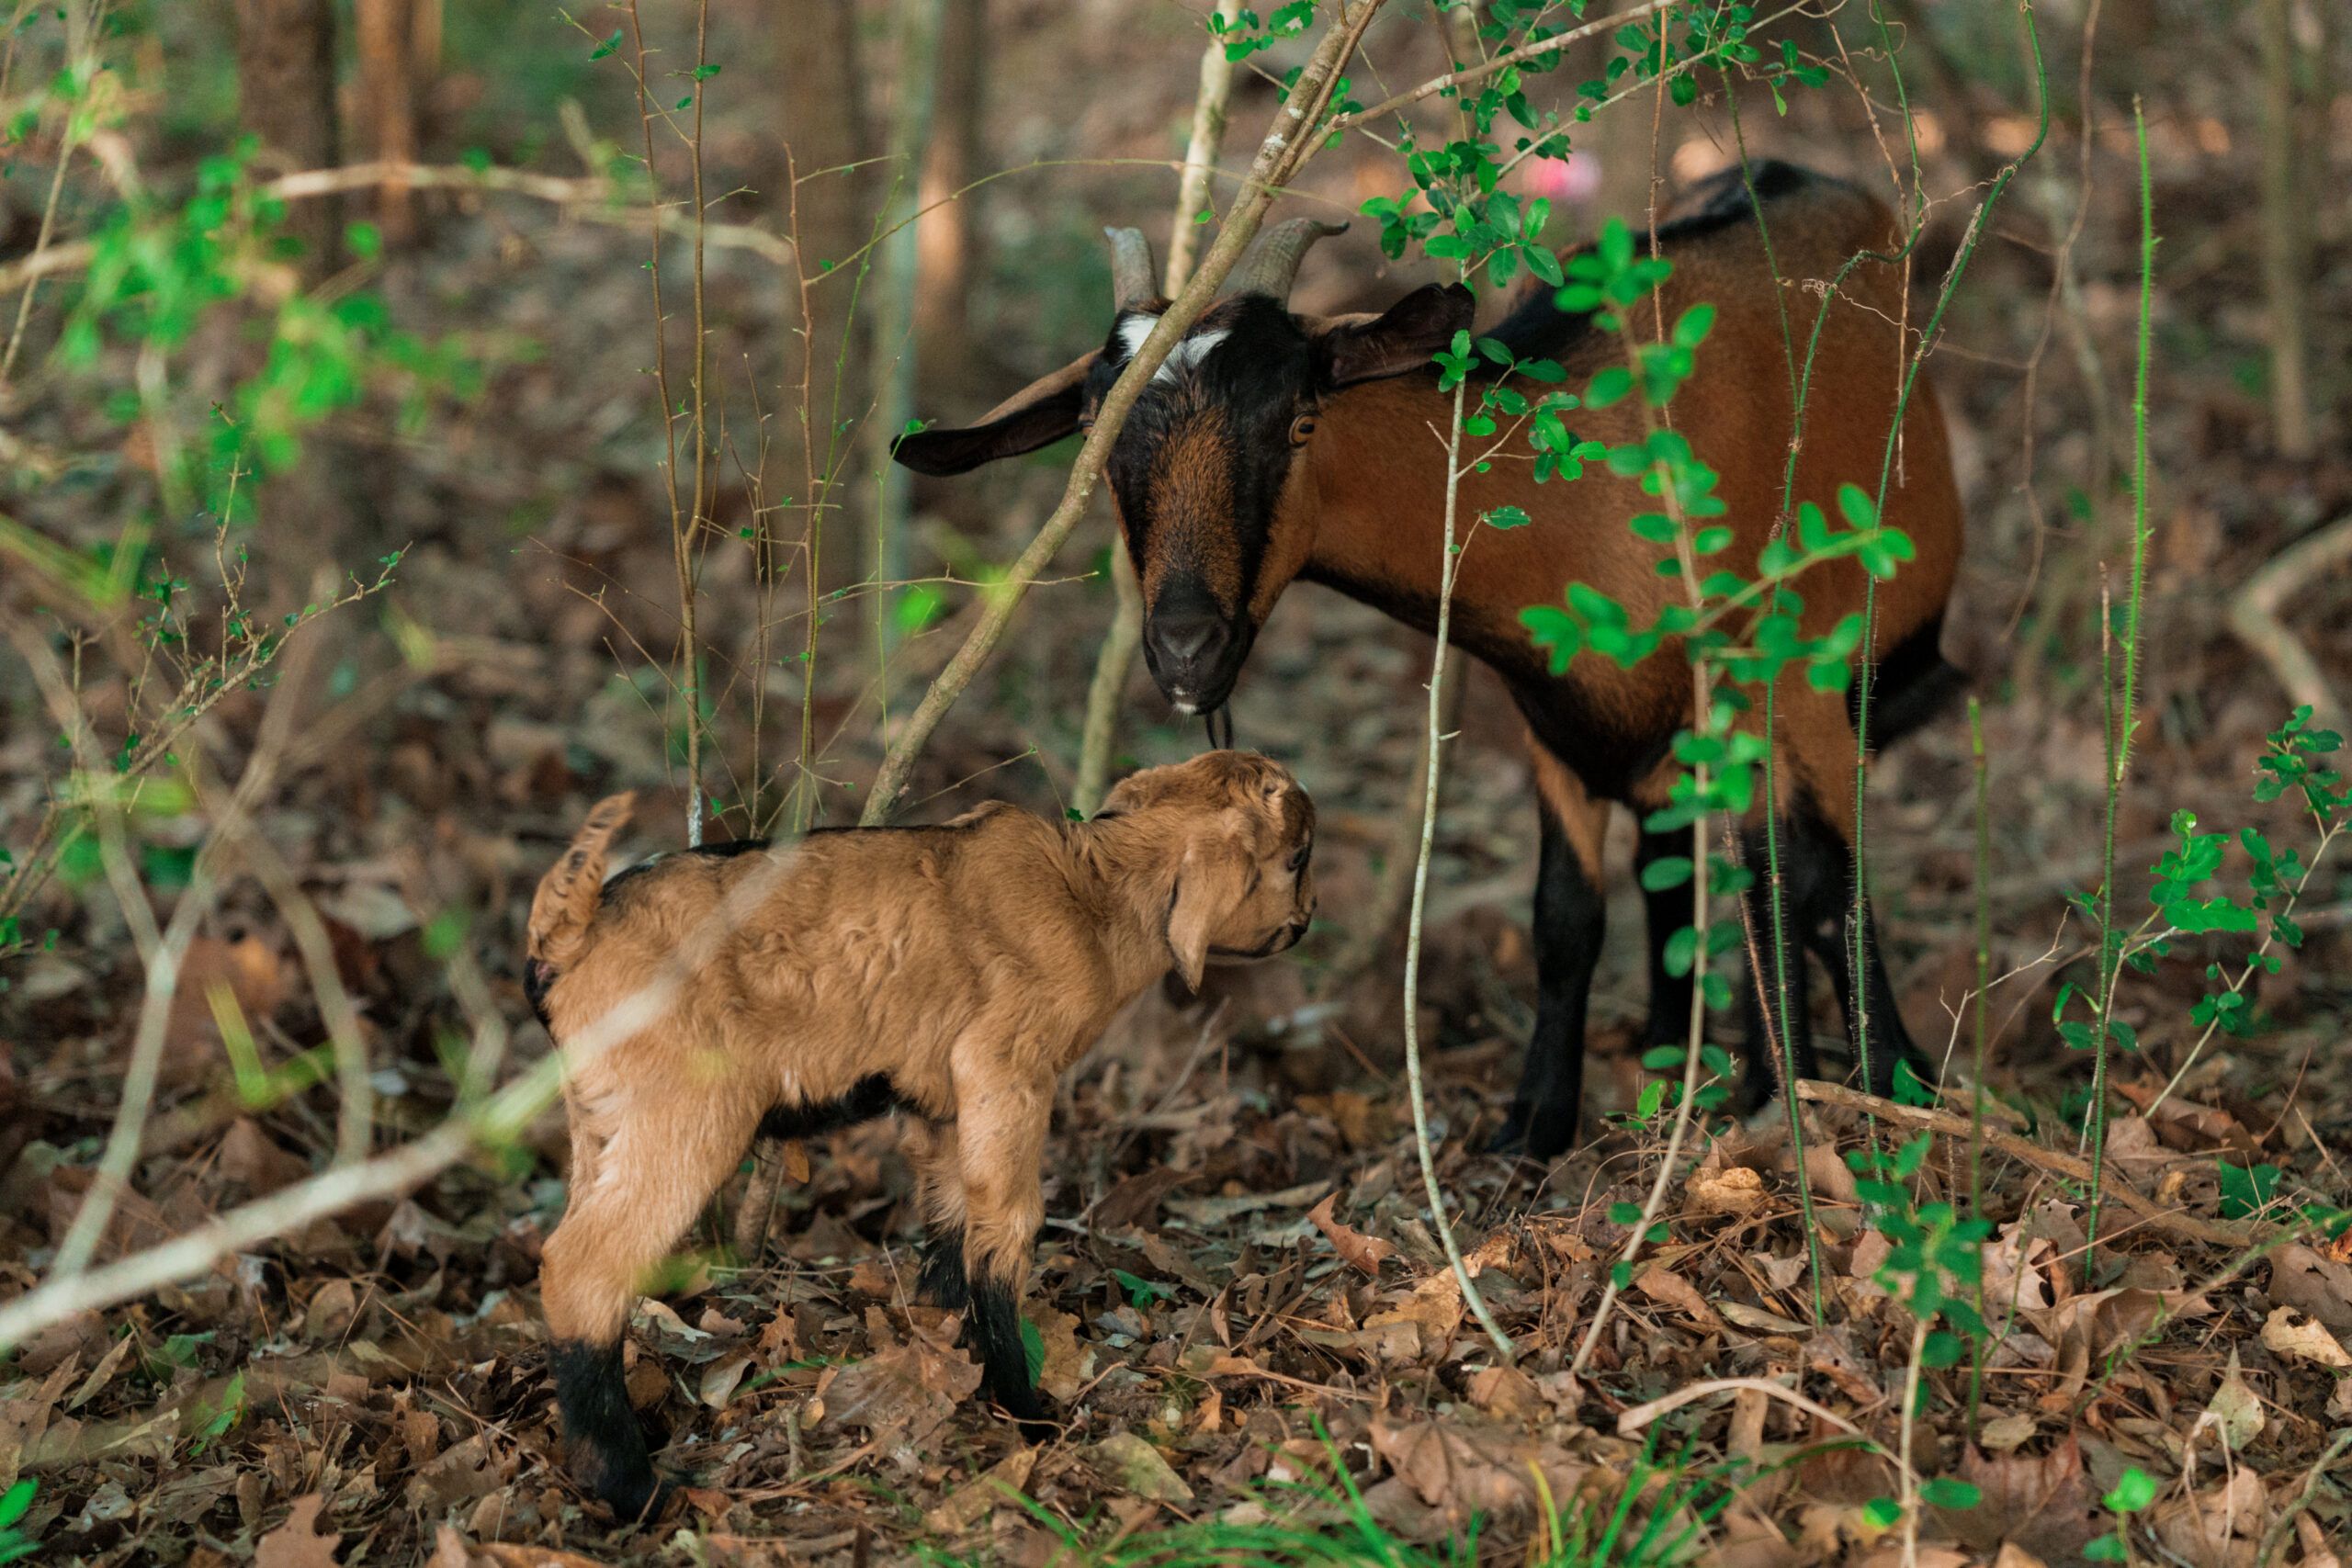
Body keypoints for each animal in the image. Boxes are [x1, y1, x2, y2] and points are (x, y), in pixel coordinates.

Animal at [524, 752, 1316, 1517]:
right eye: (1298, 857)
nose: (1308, 918)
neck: (1098, 888)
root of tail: (570, 933)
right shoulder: (1004, 1064)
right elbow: (1007, 1218)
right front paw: (1024, 1408)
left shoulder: (943, 1102)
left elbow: (952, 1214)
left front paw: (945, 1339)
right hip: (686, 1109)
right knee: (583, 1266)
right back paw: (632, 1487)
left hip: (599, 1115)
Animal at [895, 162, 1964, 1160]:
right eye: (1097, 441)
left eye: (1298, 420)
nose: (1185, 646)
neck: (1605, 480)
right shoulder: (1553, 724)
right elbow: (1567, 918)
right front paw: (1538, 1122)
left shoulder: (1783, 691)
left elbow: (1808, 889)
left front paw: (1849, 1097)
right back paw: (1676, 1067)